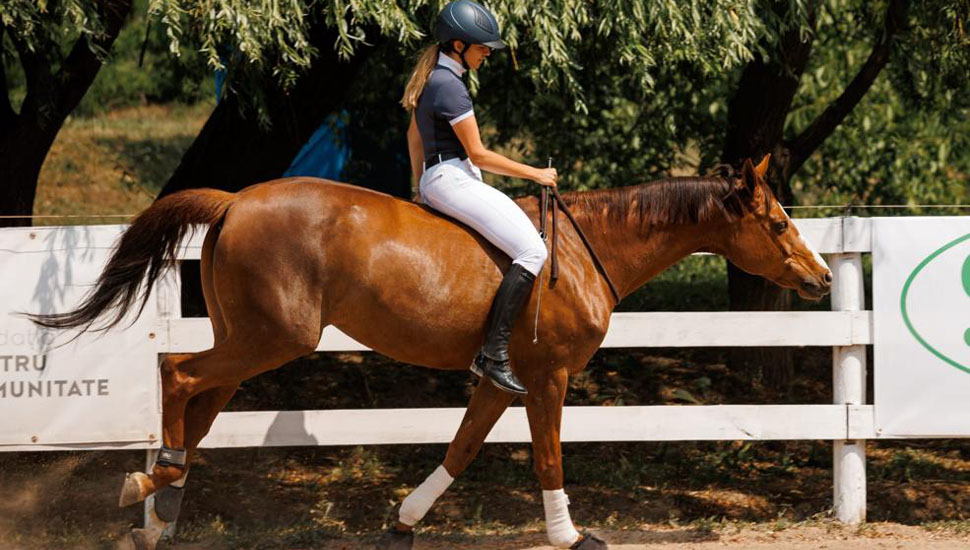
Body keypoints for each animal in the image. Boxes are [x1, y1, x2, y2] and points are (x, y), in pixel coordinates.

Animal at [30, 153, 832, 548]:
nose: (822, 278)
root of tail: (235, 200)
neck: (585, 249)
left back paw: (163, 507)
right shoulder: (547, 378)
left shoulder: (502, 382)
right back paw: (151, 483)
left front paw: (404, 522)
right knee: (177, 373)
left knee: (200, 400)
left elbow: (461, 448)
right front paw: (570, 535)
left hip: (250, 339)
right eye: (777, 222)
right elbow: (548, 459)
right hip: (271, 339)